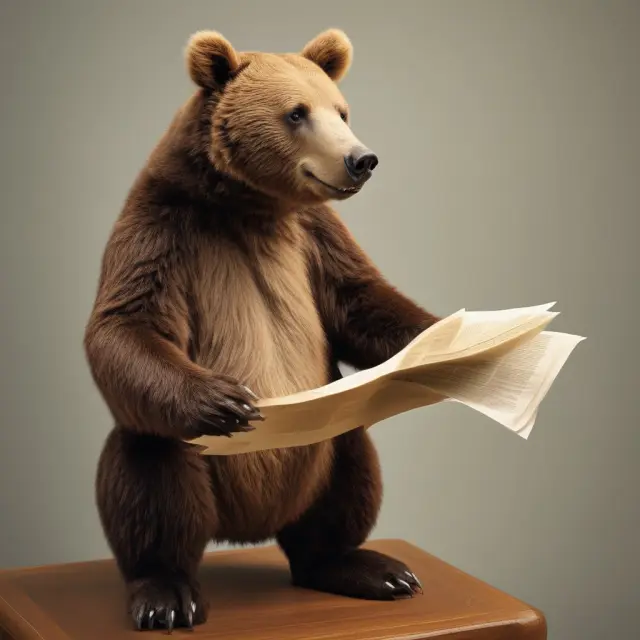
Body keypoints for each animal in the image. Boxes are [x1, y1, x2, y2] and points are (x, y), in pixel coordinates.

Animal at [84, 27, 441, 633]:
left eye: (341, 110)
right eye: (297, 112)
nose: (361, 159)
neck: (250, 207)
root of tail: (246, 530)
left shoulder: (314, 236)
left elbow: (362, 301)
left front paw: (449, 341)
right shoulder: (162, 227)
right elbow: (126, 323)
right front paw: (226, 400)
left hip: (324, 446)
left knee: (350, 474)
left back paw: (371, 569)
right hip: (181, 458)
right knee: (150, 471)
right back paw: (165, 594)